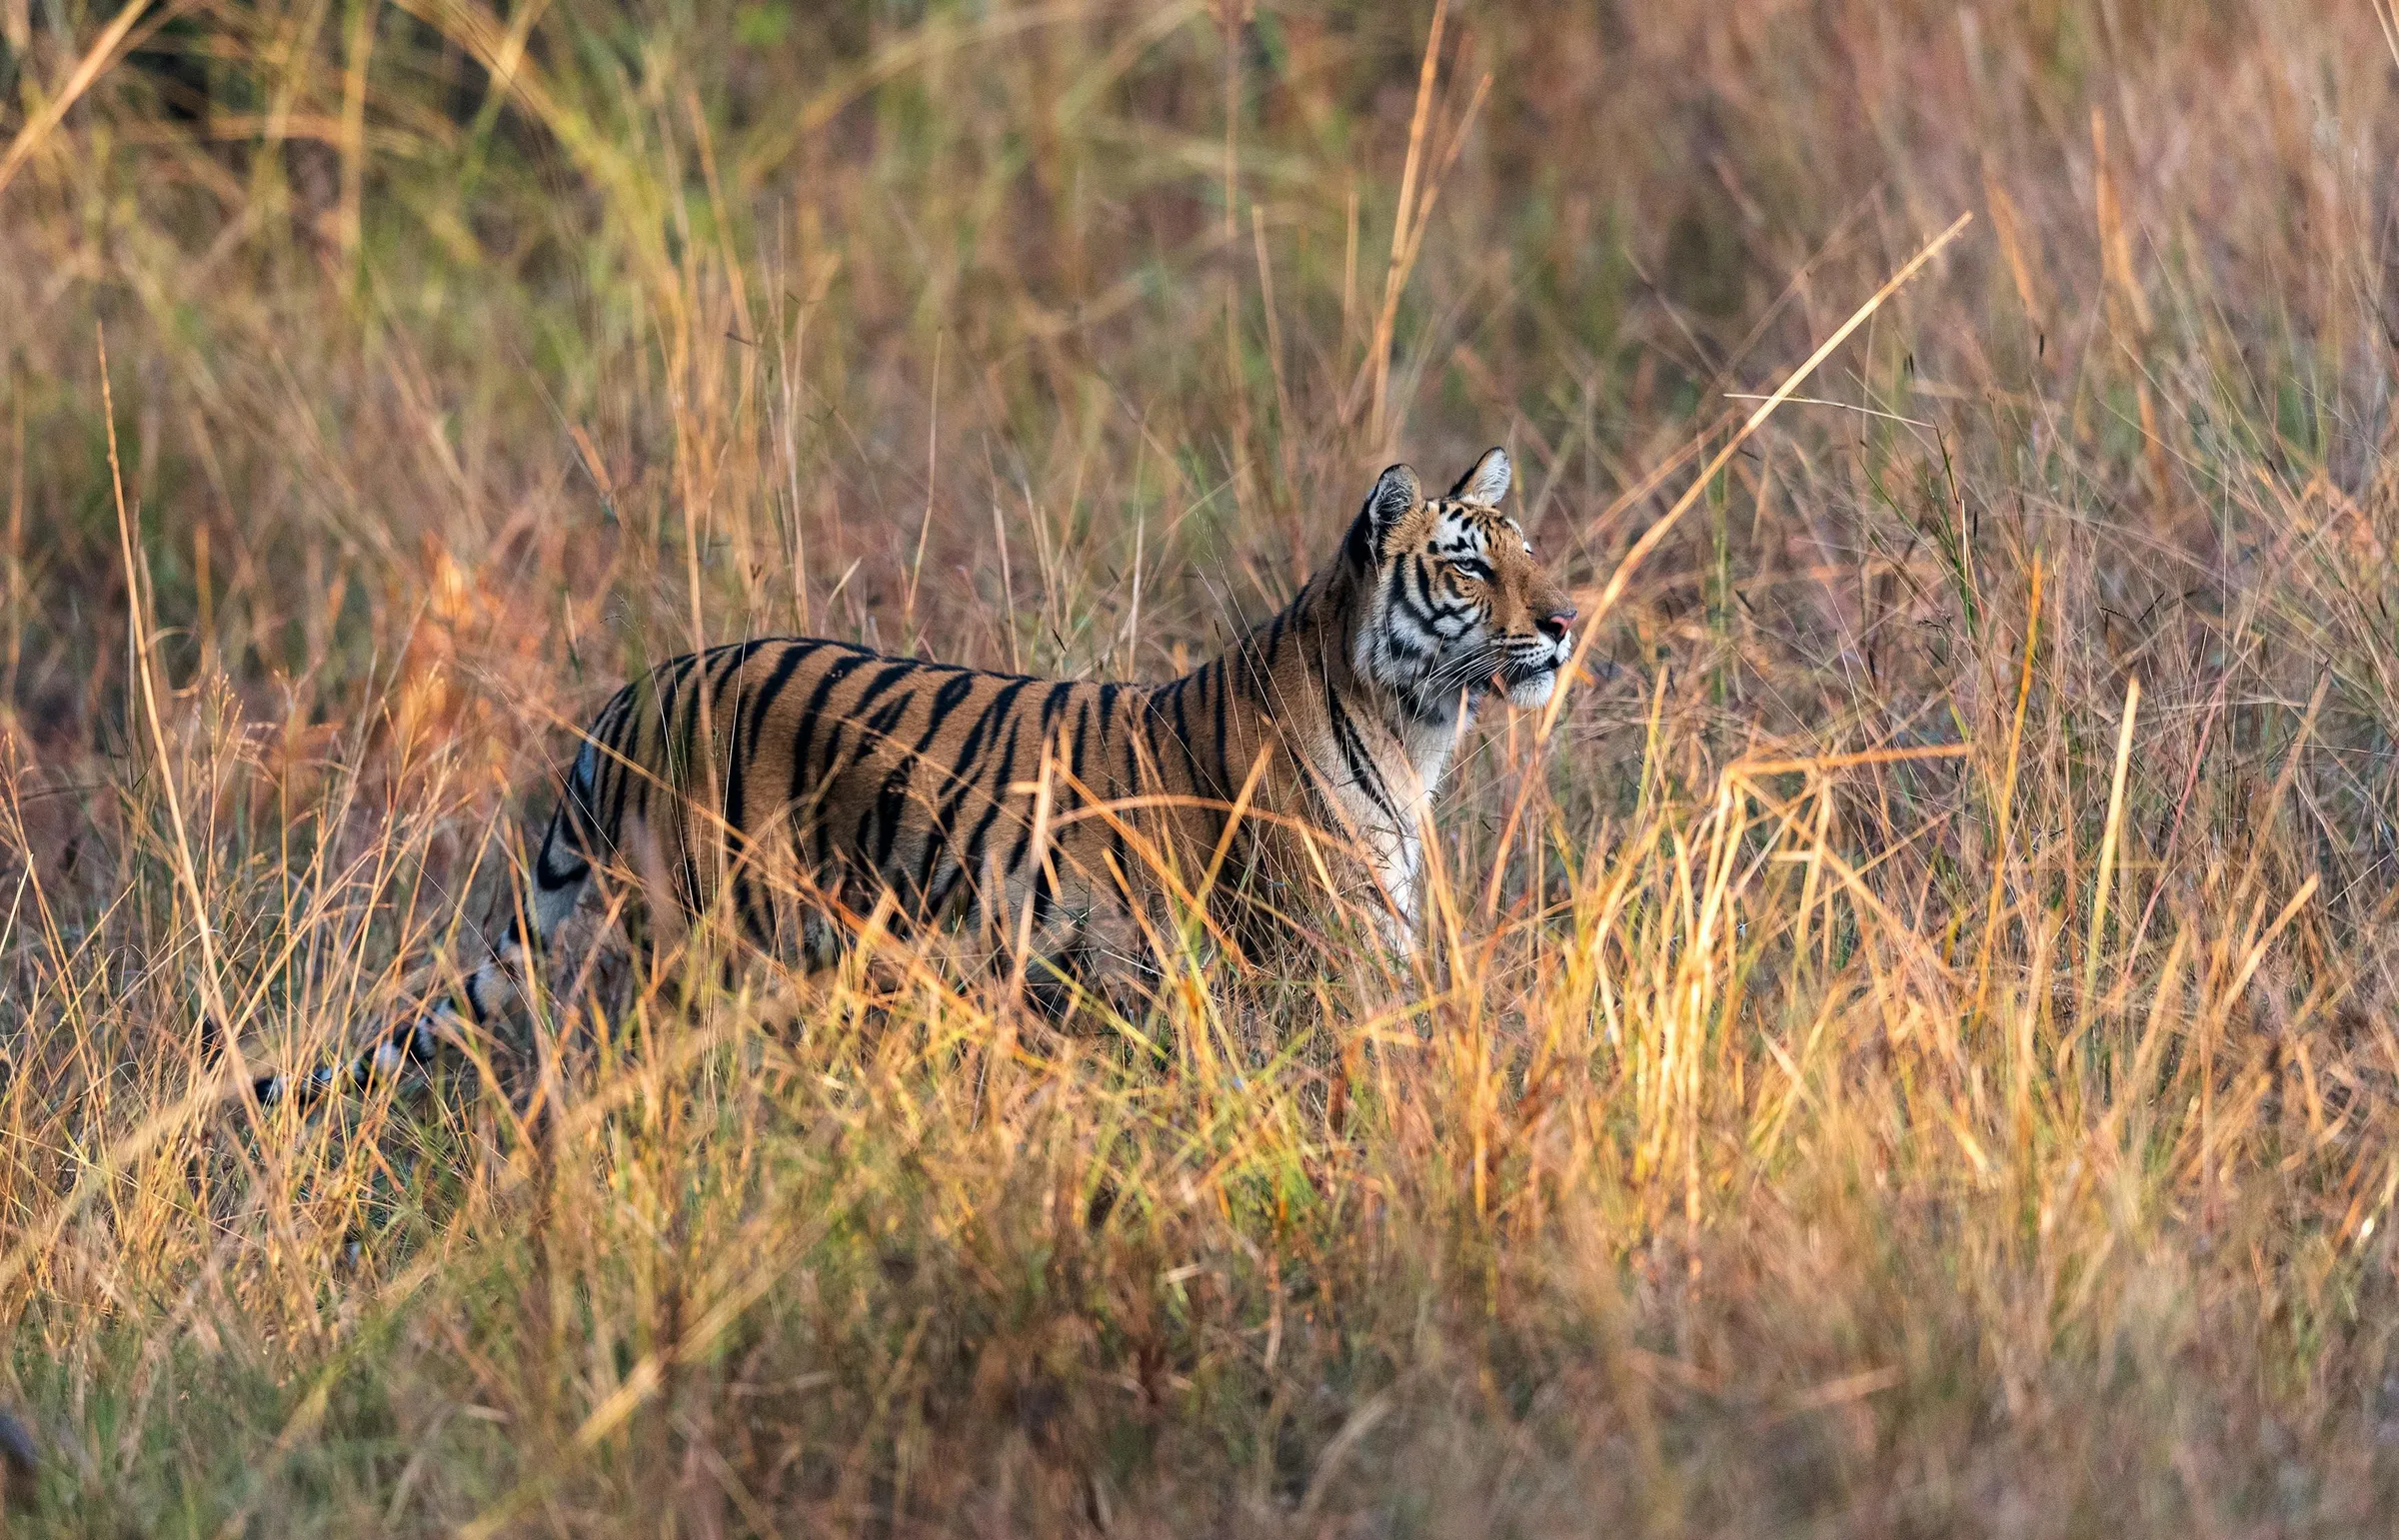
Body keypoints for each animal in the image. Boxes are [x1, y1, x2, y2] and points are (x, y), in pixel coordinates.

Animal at [251, 447, 1577, 1105]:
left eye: (1533, 551)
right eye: (1470, 568)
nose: (1566, 621)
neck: (1413, 727)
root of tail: (628, 695)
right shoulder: (1333, 958)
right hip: (701, 946)